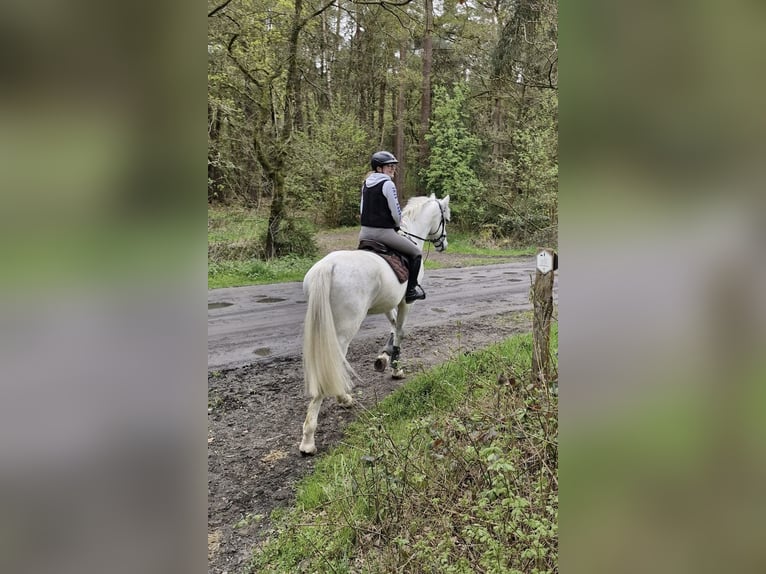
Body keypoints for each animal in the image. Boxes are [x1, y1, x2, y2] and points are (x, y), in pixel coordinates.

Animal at [299, 194, 451, 454]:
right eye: (445, 218)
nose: (444, 244)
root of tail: (327, 267)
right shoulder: (405, 301)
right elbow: (400, 330)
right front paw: (396, 368)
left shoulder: (389, 302)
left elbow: (392, 326)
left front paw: (384, 357)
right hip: (345, 327)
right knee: (333, 361)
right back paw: (313, 434)